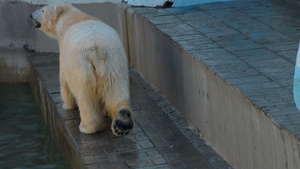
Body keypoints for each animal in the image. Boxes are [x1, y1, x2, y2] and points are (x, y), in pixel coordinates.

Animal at [30, 2, 134, 136]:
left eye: (42, 10)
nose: (31, 14)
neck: (71, 17)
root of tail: (96, 52)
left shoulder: (65, 56)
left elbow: (64, 82)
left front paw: (67, 105)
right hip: (114, 64)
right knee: (117, 91)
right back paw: (123, 122)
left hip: (82, 69)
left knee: (85, 99)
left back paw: (87, 127)